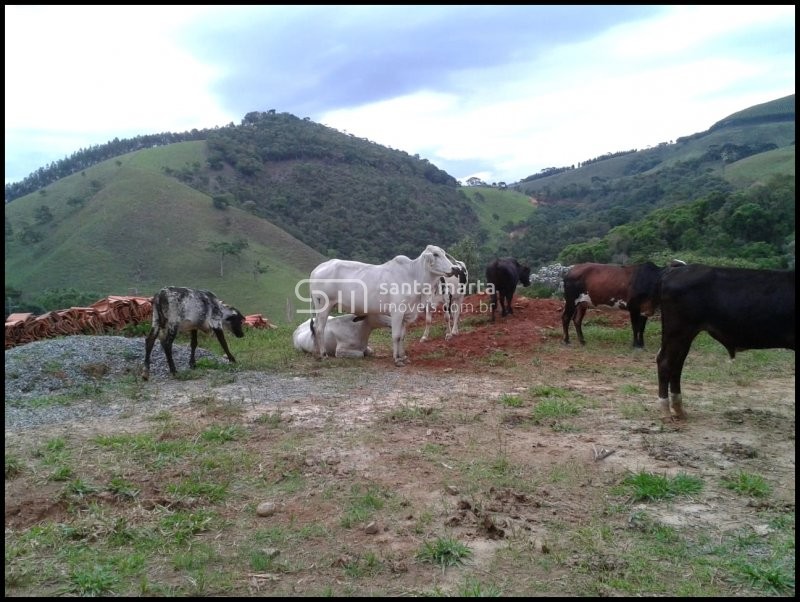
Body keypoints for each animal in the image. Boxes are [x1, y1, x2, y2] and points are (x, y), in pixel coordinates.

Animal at [308, 244, 454, 366]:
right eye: (435, 254)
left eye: (443, 253)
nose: (453, 268)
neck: (413, 276)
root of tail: (317, 269)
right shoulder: (397, 312)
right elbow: (396, 336)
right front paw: (396, 359)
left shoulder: (406, 314)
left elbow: (402, 336)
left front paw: (403, 356)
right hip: (324, 304)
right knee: (319, 328)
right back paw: (323, 354)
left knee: (315, 327)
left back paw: (317, 353)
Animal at [656, 264, 792, 420]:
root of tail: (679, 268)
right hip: (677, 332)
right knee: (665, 362)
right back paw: (665, 411)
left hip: (684, 335)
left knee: (677, 365)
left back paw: (679, 409)